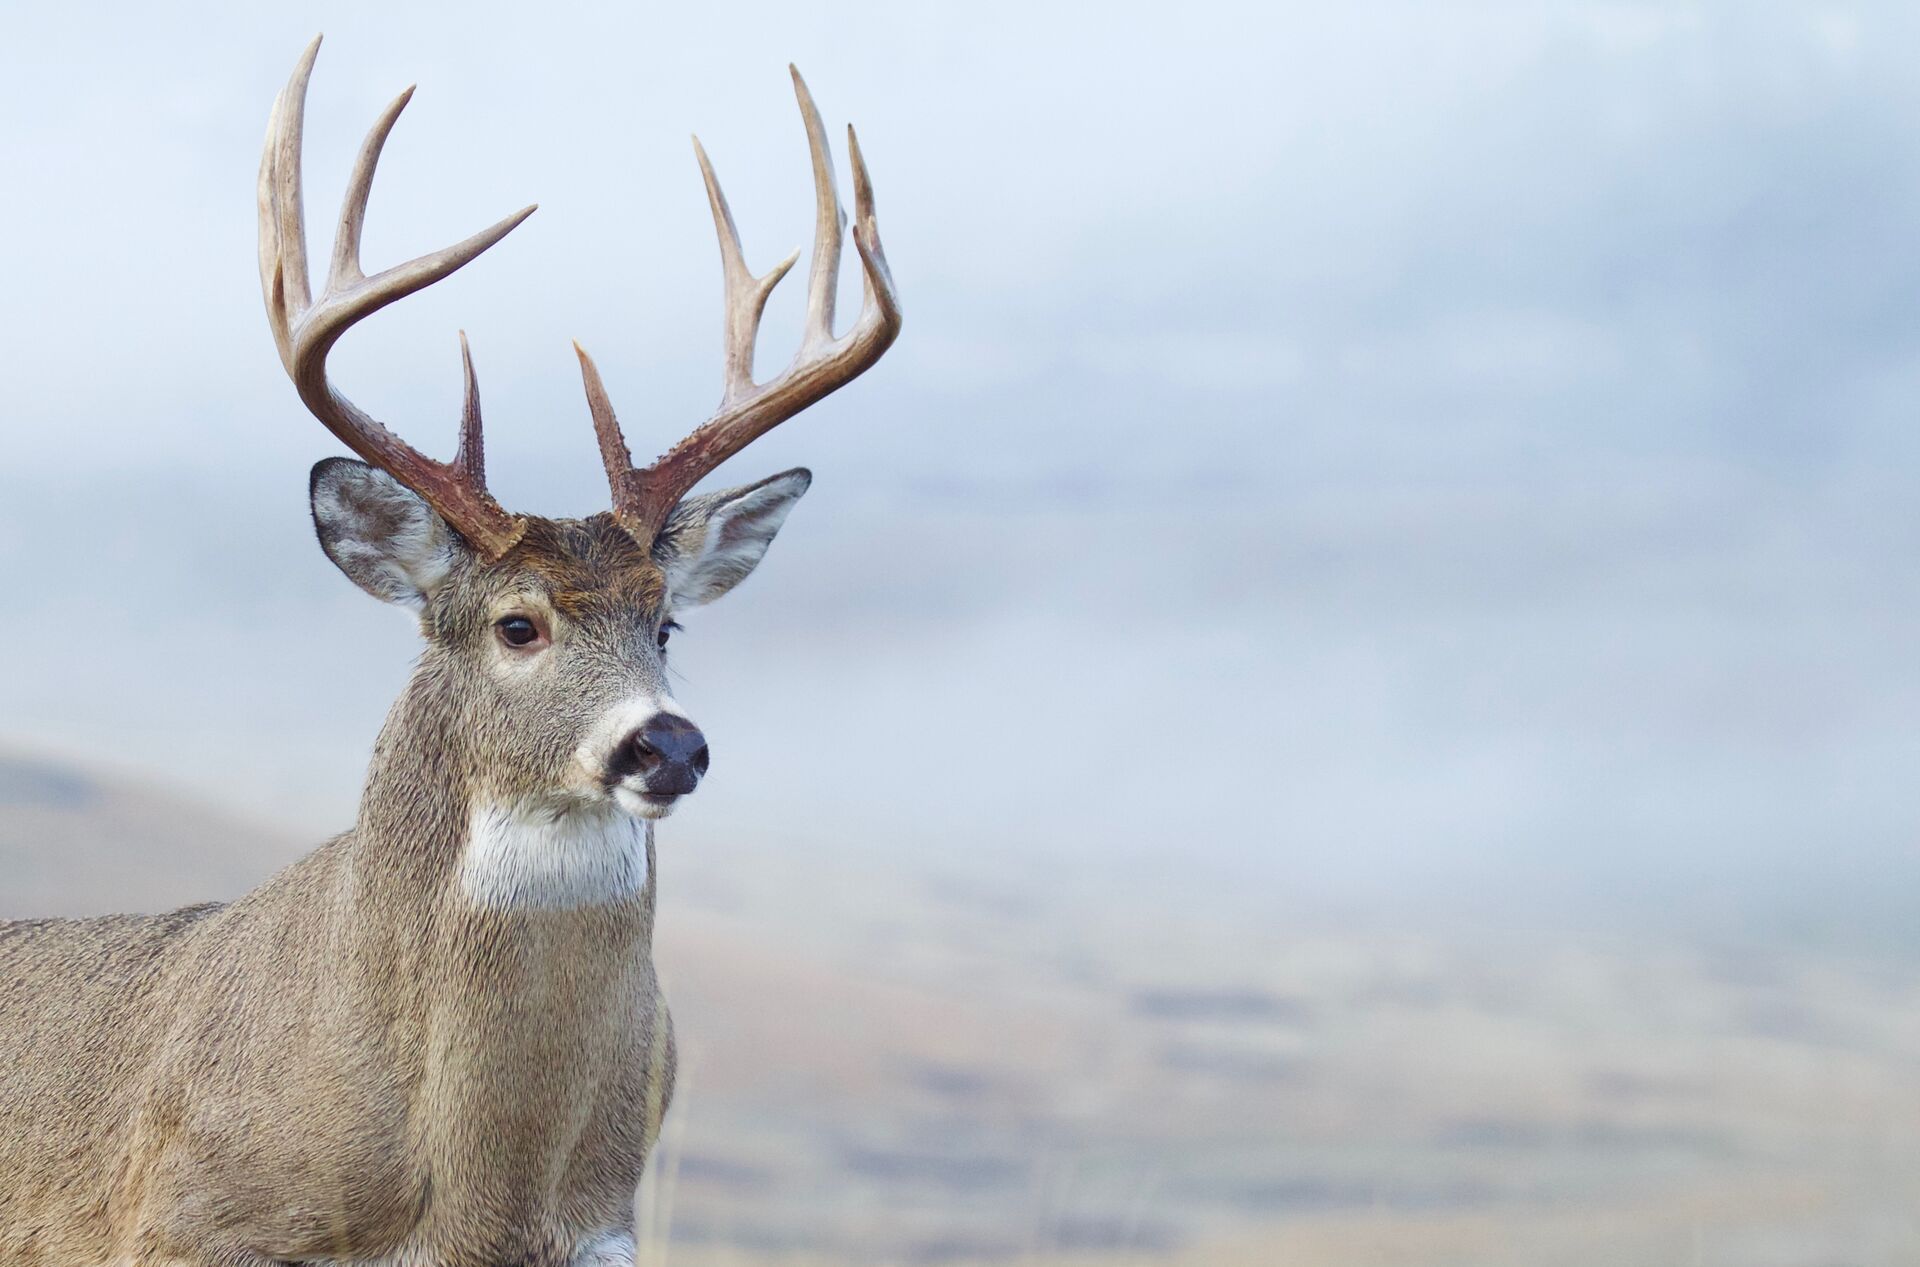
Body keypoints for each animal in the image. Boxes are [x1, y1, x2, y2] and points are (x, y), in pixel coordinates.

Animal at [0, 34, 898, 1259]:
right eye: (518, 623)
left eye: (666, 622)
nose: (666, 746)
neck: (481, 1195)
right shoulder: (186, 1218)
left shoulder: (603, 1225)